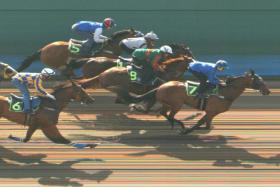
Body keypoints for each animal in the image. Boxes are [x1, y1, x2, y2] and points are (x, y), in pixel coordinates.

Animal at [130, 69, 270, 134]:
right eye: (258, 81)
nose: (268, 91)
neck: (225, 93)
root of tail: (160, 86)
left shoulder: (212, 113)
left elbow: (207, 125)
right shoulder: (210, 111)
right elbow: (200, 122)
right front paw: (187, 131)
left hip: (169, 103)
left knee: (164, 113)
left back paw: (174, 124)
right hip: (177, 104)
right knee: (169, 114)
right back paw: (180, 125)